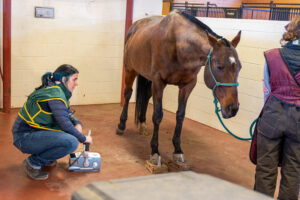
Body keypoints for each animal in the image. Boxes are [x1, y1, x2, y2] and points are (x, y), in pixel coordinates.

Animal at [116, 9, 241, 166]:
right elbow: (157, 116)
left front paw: (177, 150)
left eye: (239, 67)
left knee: (145, 97)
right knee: (127, 94)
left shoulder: (188, 85)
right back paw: (121, 125)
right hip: (130, 70)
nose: (233, 108)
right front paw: (155, 152)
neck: (177, 45)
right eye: (219, 66)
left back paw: (143, 125)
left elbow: (180, 116)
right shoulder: (159, 83)